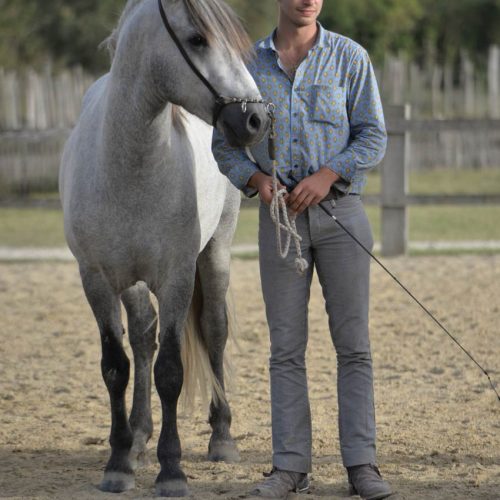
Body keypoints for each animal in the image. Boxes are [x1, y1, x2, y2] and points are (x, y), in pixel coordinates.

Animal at [58, 0, 270, 496]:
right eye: (197, 39)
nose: (256, 120)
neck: (129, 168)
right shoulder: (96, 280)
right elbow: (116, 366)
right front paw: (118, 462)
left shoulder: (176, 278)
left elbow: (171, 371)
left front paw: (171, 469)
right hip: (132, 283)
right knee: (143, 337)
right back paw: (137, 436)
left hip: (215, 254)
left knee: (213, 331)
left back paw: (221, 437)